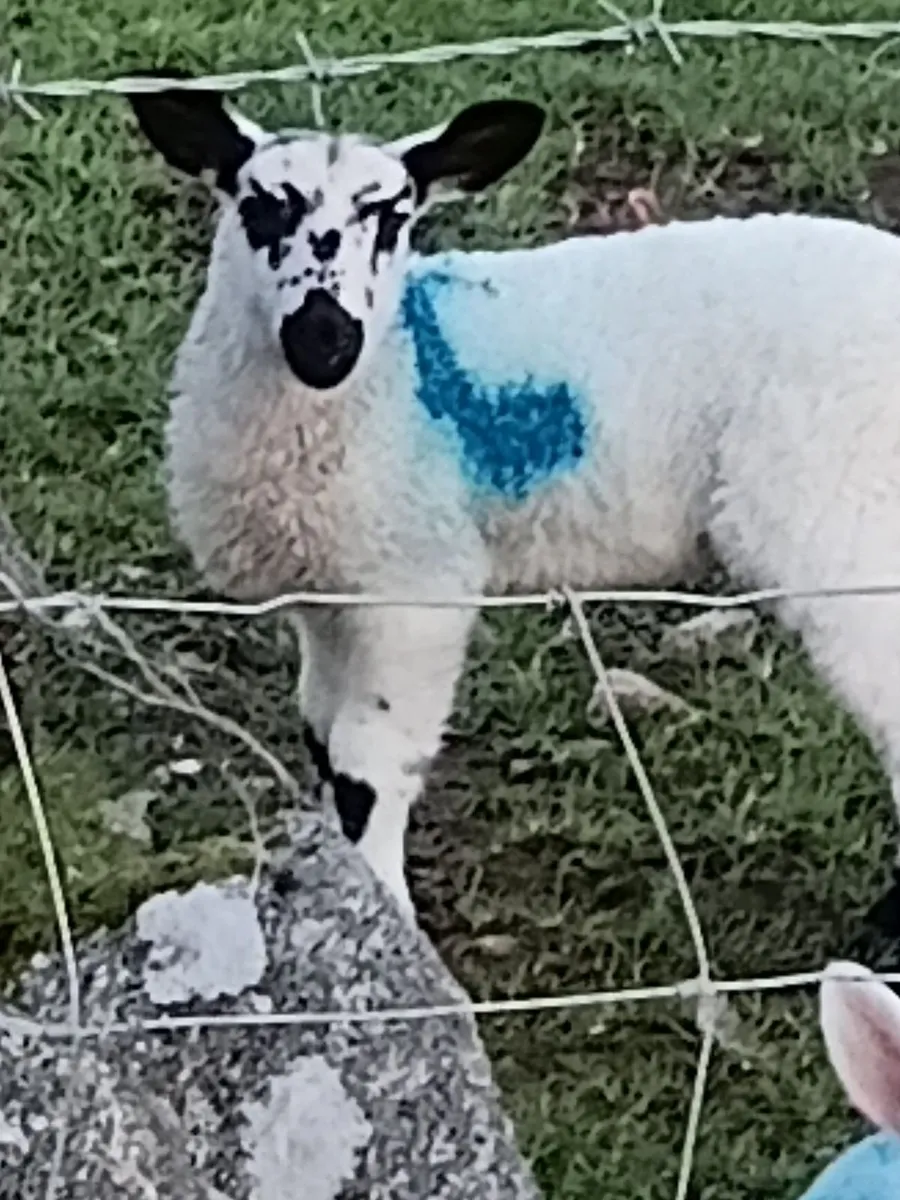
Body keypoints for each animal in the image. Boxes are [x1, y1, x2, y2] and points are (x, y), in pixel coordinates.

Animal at [127, 78, 900, 919]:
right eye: (260, 206)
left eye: (394, 218)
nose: (325, 341)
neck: (389, 374)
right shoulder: (331, 590)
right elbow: (322, 738)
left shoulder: (416, 582)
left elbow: (369, 759)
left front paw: (385, 904)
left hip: (844, 513)